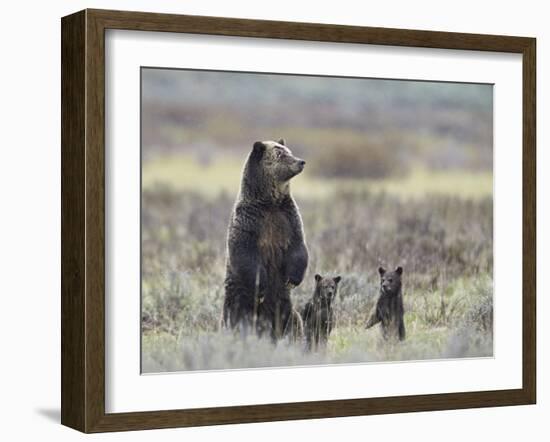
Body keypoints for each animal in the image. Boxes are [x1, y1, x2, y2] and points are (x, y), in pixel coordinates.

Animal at [224, 140, 310, 340]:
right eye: (281, 155)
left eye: (289, 151)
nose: (301, 161)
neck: (270, 203)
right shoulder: (250, 221)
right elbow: (244, 252)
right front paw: (261, 285)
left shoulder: (288, 218)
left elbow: (298, 247)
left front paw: (292, 279)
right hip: (238, 298)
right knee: (235, 318)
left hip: (284, 304)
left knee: (292, 321)